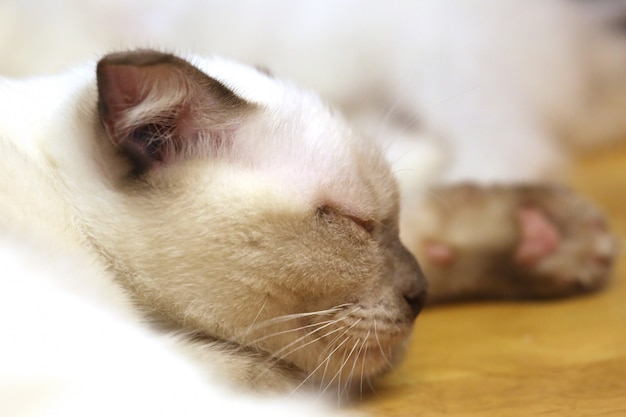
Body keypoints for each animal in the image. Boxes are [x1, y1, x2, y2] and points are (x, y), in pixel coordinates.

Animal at [0, 48, 616, 412]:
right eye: (354, 223)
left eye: (388, 222)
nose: (420, 295)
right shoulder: (249, 378)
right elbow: (315, 372)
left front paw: (549, 236)